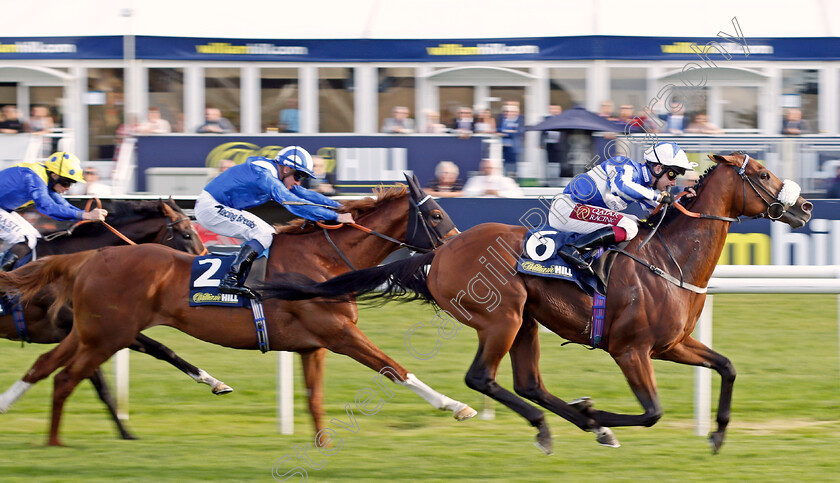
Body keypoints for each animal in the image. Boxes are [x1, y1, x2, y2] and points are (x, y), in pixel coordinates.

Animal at [258, 156, 812, 458]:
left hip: (525, 320)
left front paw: (716, 436)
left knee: (528, 383)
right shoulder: (631, 350)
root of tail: (441, 252)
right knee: (483, 378)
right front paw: (598, 413)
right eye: (764, 173)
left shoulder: (673, 344)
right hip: (500, 318)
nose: (806, 207)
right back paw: (562, 425)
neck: (666, 259)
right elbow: (652, 412)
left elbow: (728, 366)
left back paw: (577, 425)